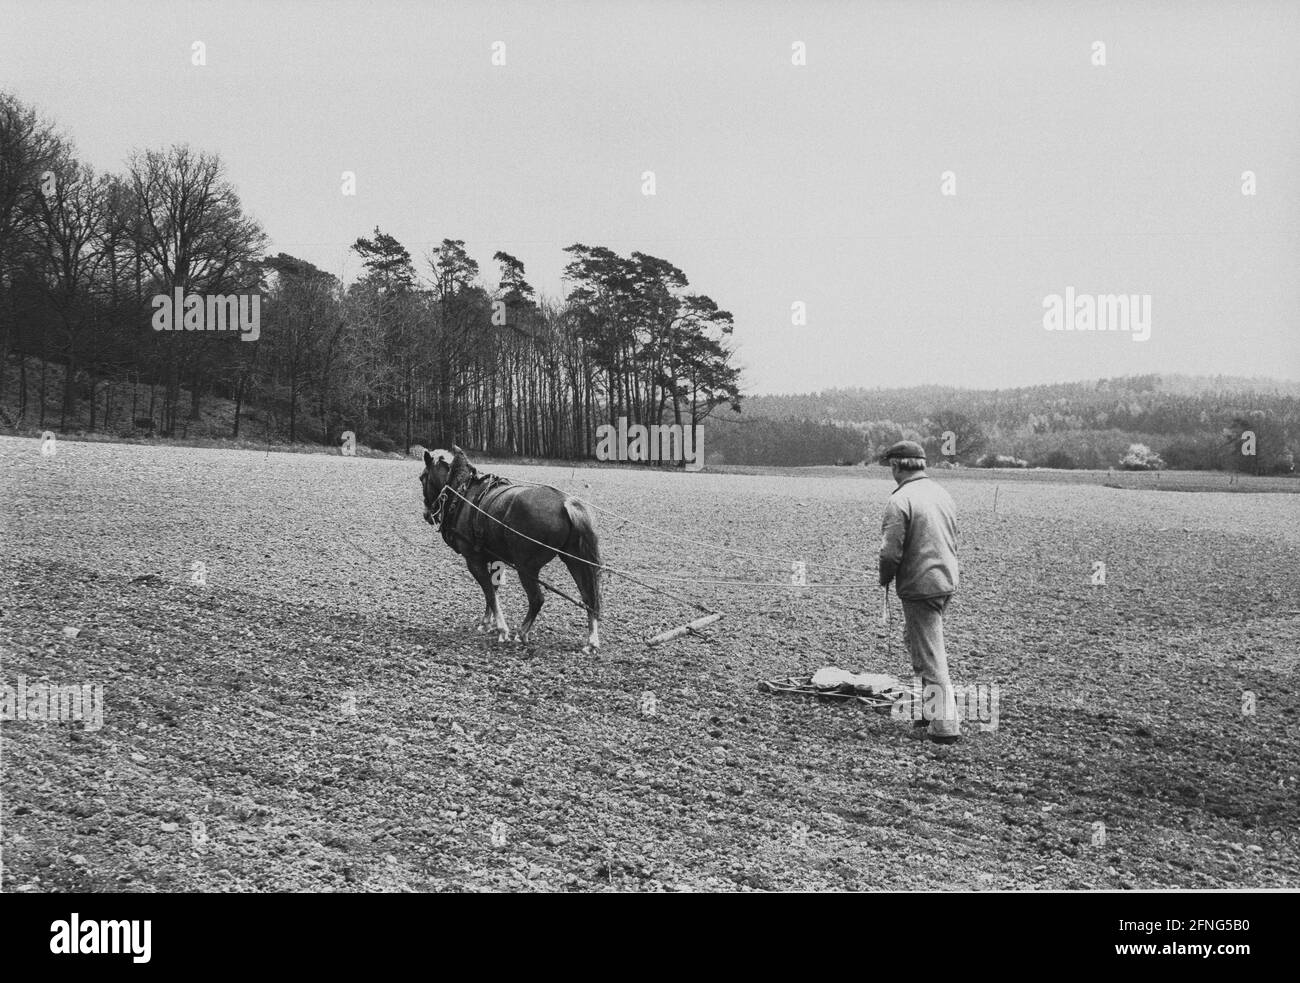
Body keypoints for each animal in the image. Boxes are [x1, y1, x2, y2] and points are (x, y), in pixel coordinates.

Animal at [418, 447, 605, 652]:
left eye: (422, 478)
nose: (426, 514)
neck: (462, 494)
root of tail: (566, 503)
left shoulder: (474, 560)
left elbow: (490, 593)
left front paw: (502, 629)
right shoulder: (496, 560)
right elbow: (492, 590)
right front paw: (486, 623)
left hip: (526, 567)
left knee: (537, 599)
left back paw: (522, 633)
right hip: (575, 560)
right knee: (589, 598)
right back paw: (592, 640)